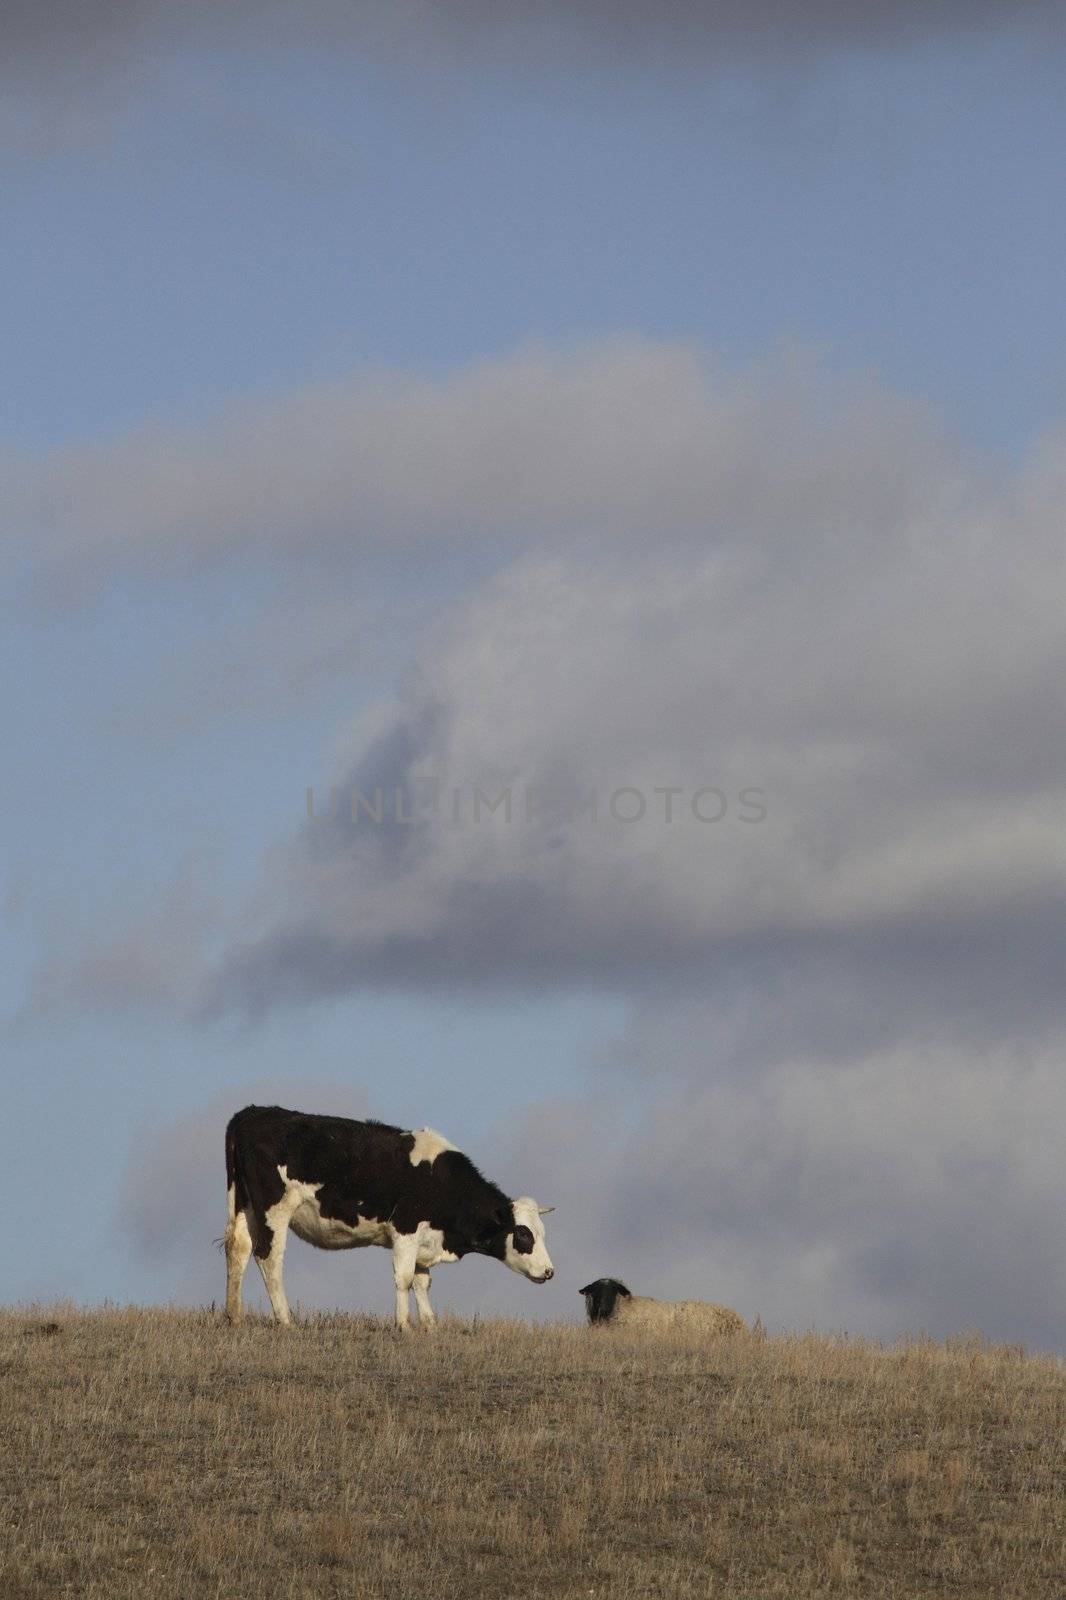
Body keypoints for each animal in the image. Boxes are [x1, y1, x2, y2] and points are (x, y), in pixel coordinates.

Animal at [224, 1107, 557, 1331]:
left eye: (542, 1232)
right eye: (524, 1234)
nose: (550, 1271)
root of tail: (252, 1113)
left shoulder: (425, 1239)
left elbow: (423, 1281)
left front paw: (430, 1325)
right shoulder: (406, 1228)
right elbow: (405, 1278)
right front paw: (404, 1326)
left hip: (244, 1204)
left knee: (238, 1249)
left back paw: (234, 1315)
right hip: (274, 1208)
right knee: (268, 1257)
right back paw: (285, 1319)